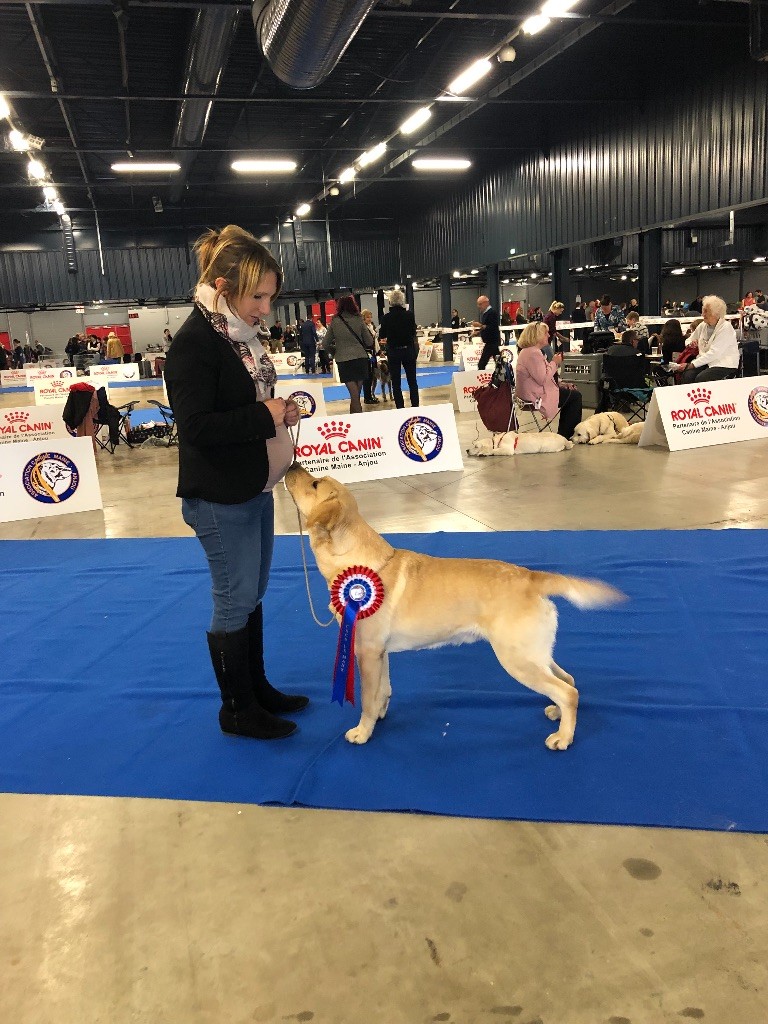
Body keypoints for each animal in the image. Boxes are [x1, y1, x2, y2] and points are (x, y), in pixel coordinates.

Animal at [282, 464, 626, 753]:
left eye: (314, 483)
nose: (291, 465)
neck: (359, 563)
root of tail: (532, 576)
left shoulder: (366, 651)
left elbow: (367, 698)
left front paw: (363, 732)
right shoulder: (379, 653)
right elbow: (383, 689)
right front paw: (380, 714)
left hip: (517, 658)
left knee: (568, 691)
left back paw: (563, 737)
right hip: (535, 653)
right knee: (568, 681)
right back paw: (557, 714)